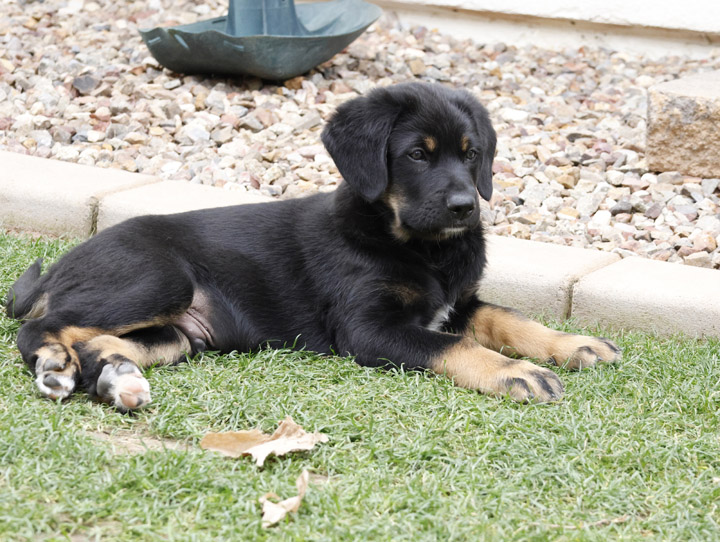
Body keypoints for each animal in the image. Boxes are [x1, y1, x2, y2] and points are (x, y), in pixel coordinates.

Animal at [4, 83, 620, 412]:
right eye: (417, 155)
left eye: (471, 154)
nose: (466, 207)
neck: (417, 246)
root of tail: (59, 267)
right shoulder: (368, 329)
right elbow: (456, 347)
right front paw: (515, 374)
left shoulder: (458, 303)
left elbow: (509, 319)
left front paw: (575, 345)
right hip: (161, 279)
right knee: (39, 329)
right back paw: (55, 365)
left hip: (181, 336)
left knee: (97, 344)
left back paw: (116, 379)